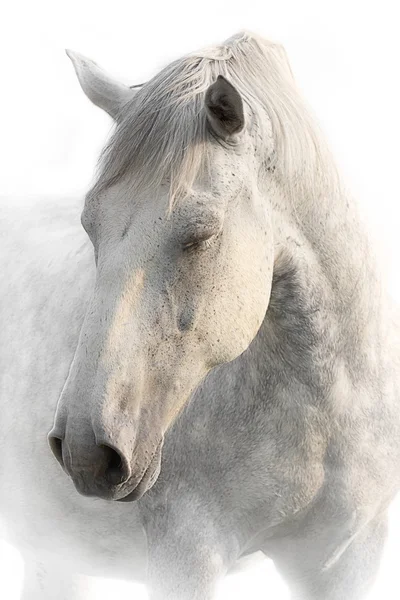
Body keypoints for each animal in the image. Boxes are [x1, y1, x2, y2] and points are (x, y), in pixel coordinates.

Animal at [0, 32, 400, 600]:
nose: (86, 451)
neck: (325, 411)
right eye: (89, 225)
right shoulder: (188, 553)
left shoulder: (348, 558)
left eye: (202, 232)